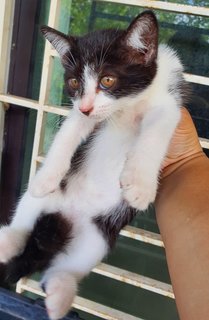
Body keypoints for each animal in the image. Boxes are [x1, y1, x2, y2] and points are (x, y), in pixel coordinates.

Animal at [0, 10, 186, 320]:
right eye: (75, 83)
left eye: (107, 80)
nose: (87, 106)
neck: (125, 107)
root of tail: (68, 216)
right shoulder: (82, 113)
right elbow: (68, 133)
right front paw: (46, 177)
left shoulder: (171, 102)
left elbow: (158, 128)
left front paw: (140, 185)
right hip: (43, 203)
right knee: (24, 222)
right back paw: (8, 240)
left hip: (97, 236)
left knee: (69, 266)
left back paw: (60, 293)